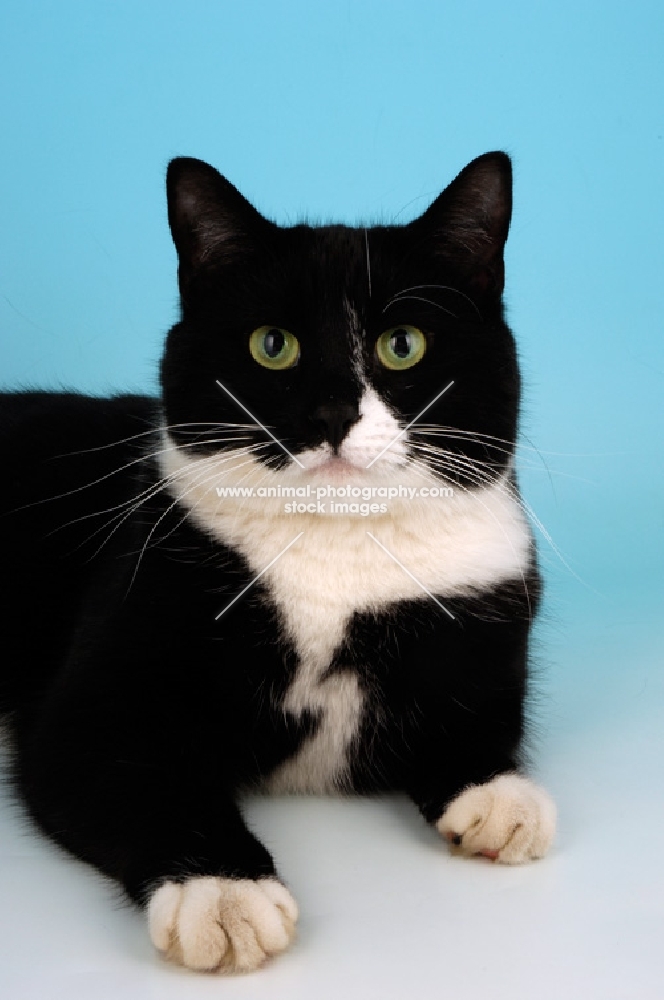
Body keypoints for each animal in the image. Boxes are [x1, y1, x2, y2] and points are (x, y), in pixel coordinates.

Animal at [0, 152, 556, 972]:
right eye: (273, 345)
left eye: (403, 344)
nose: (332, 414)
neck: (337, 549)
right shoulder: (93, 704)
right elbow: (144, 773)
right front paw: (224, 894)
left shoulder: (486, 607)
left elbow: (478, 723)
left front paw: (499, 796)